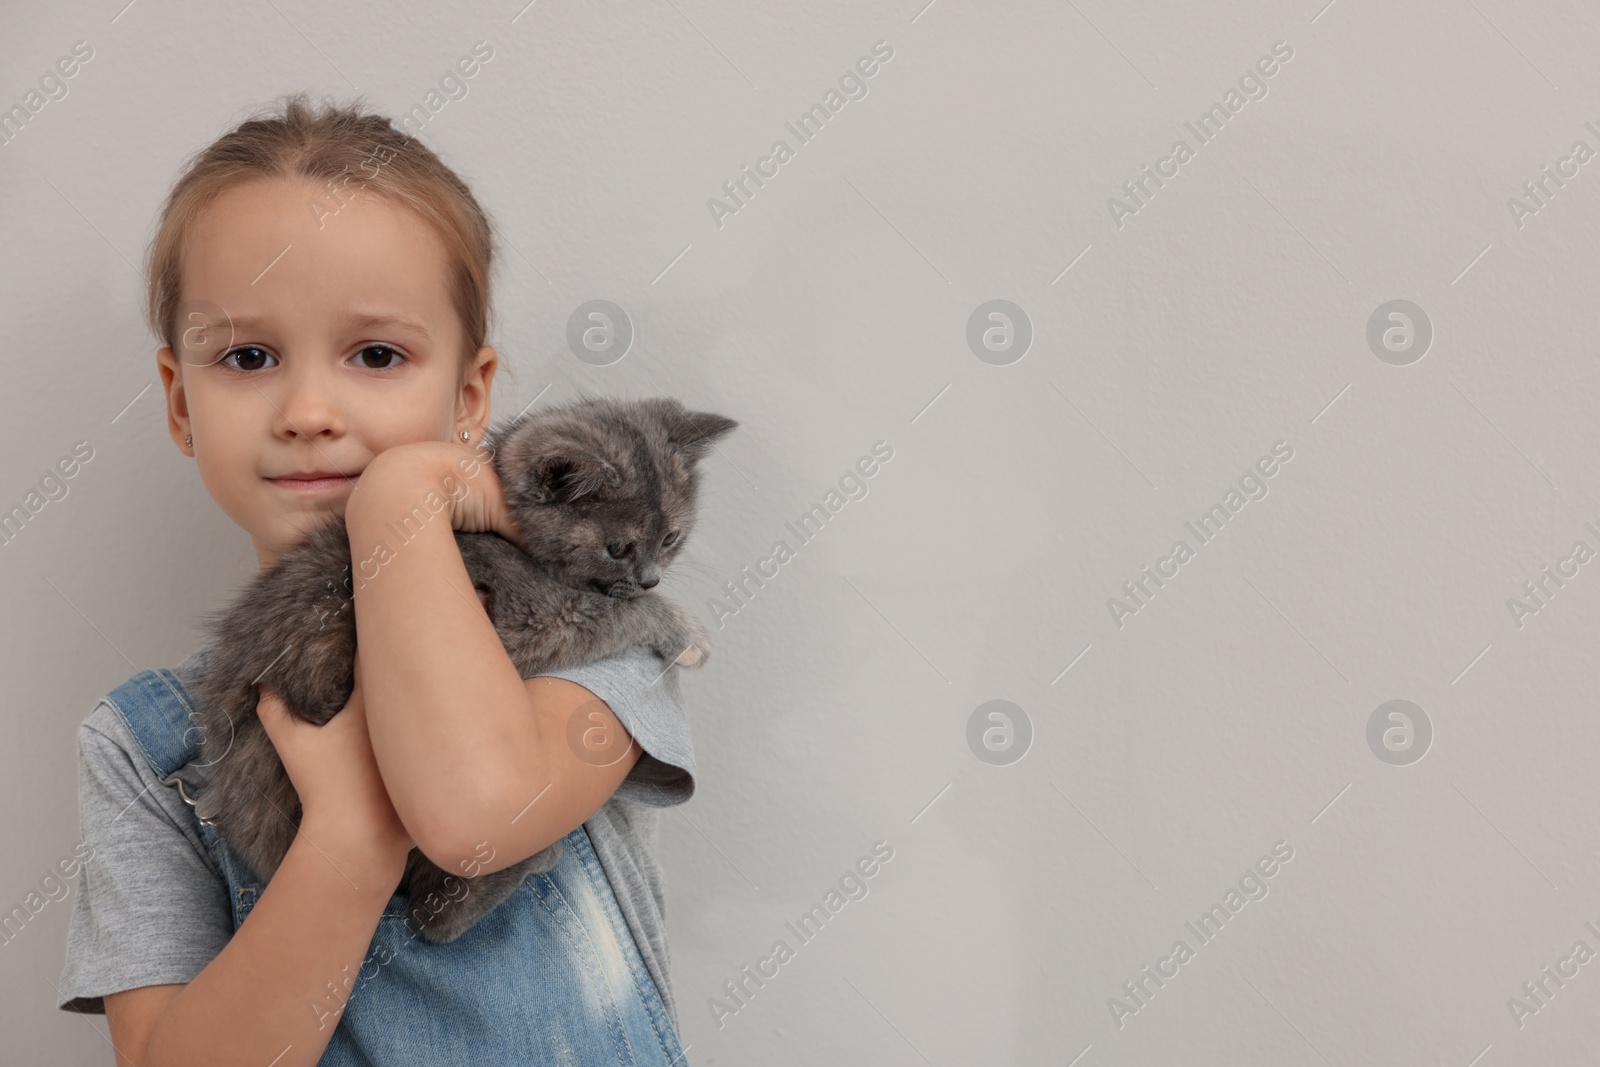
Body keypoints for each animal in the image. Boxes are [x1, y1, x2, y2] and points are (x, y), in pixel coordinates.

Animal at [188, 398, 736, 940]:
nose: (650, 579)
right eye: (618, 547)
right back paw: (533, 857)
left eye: (671, 538)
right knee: (430, 917)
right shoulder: (533, 618)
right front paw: (689, 635)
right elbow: (619, 613)